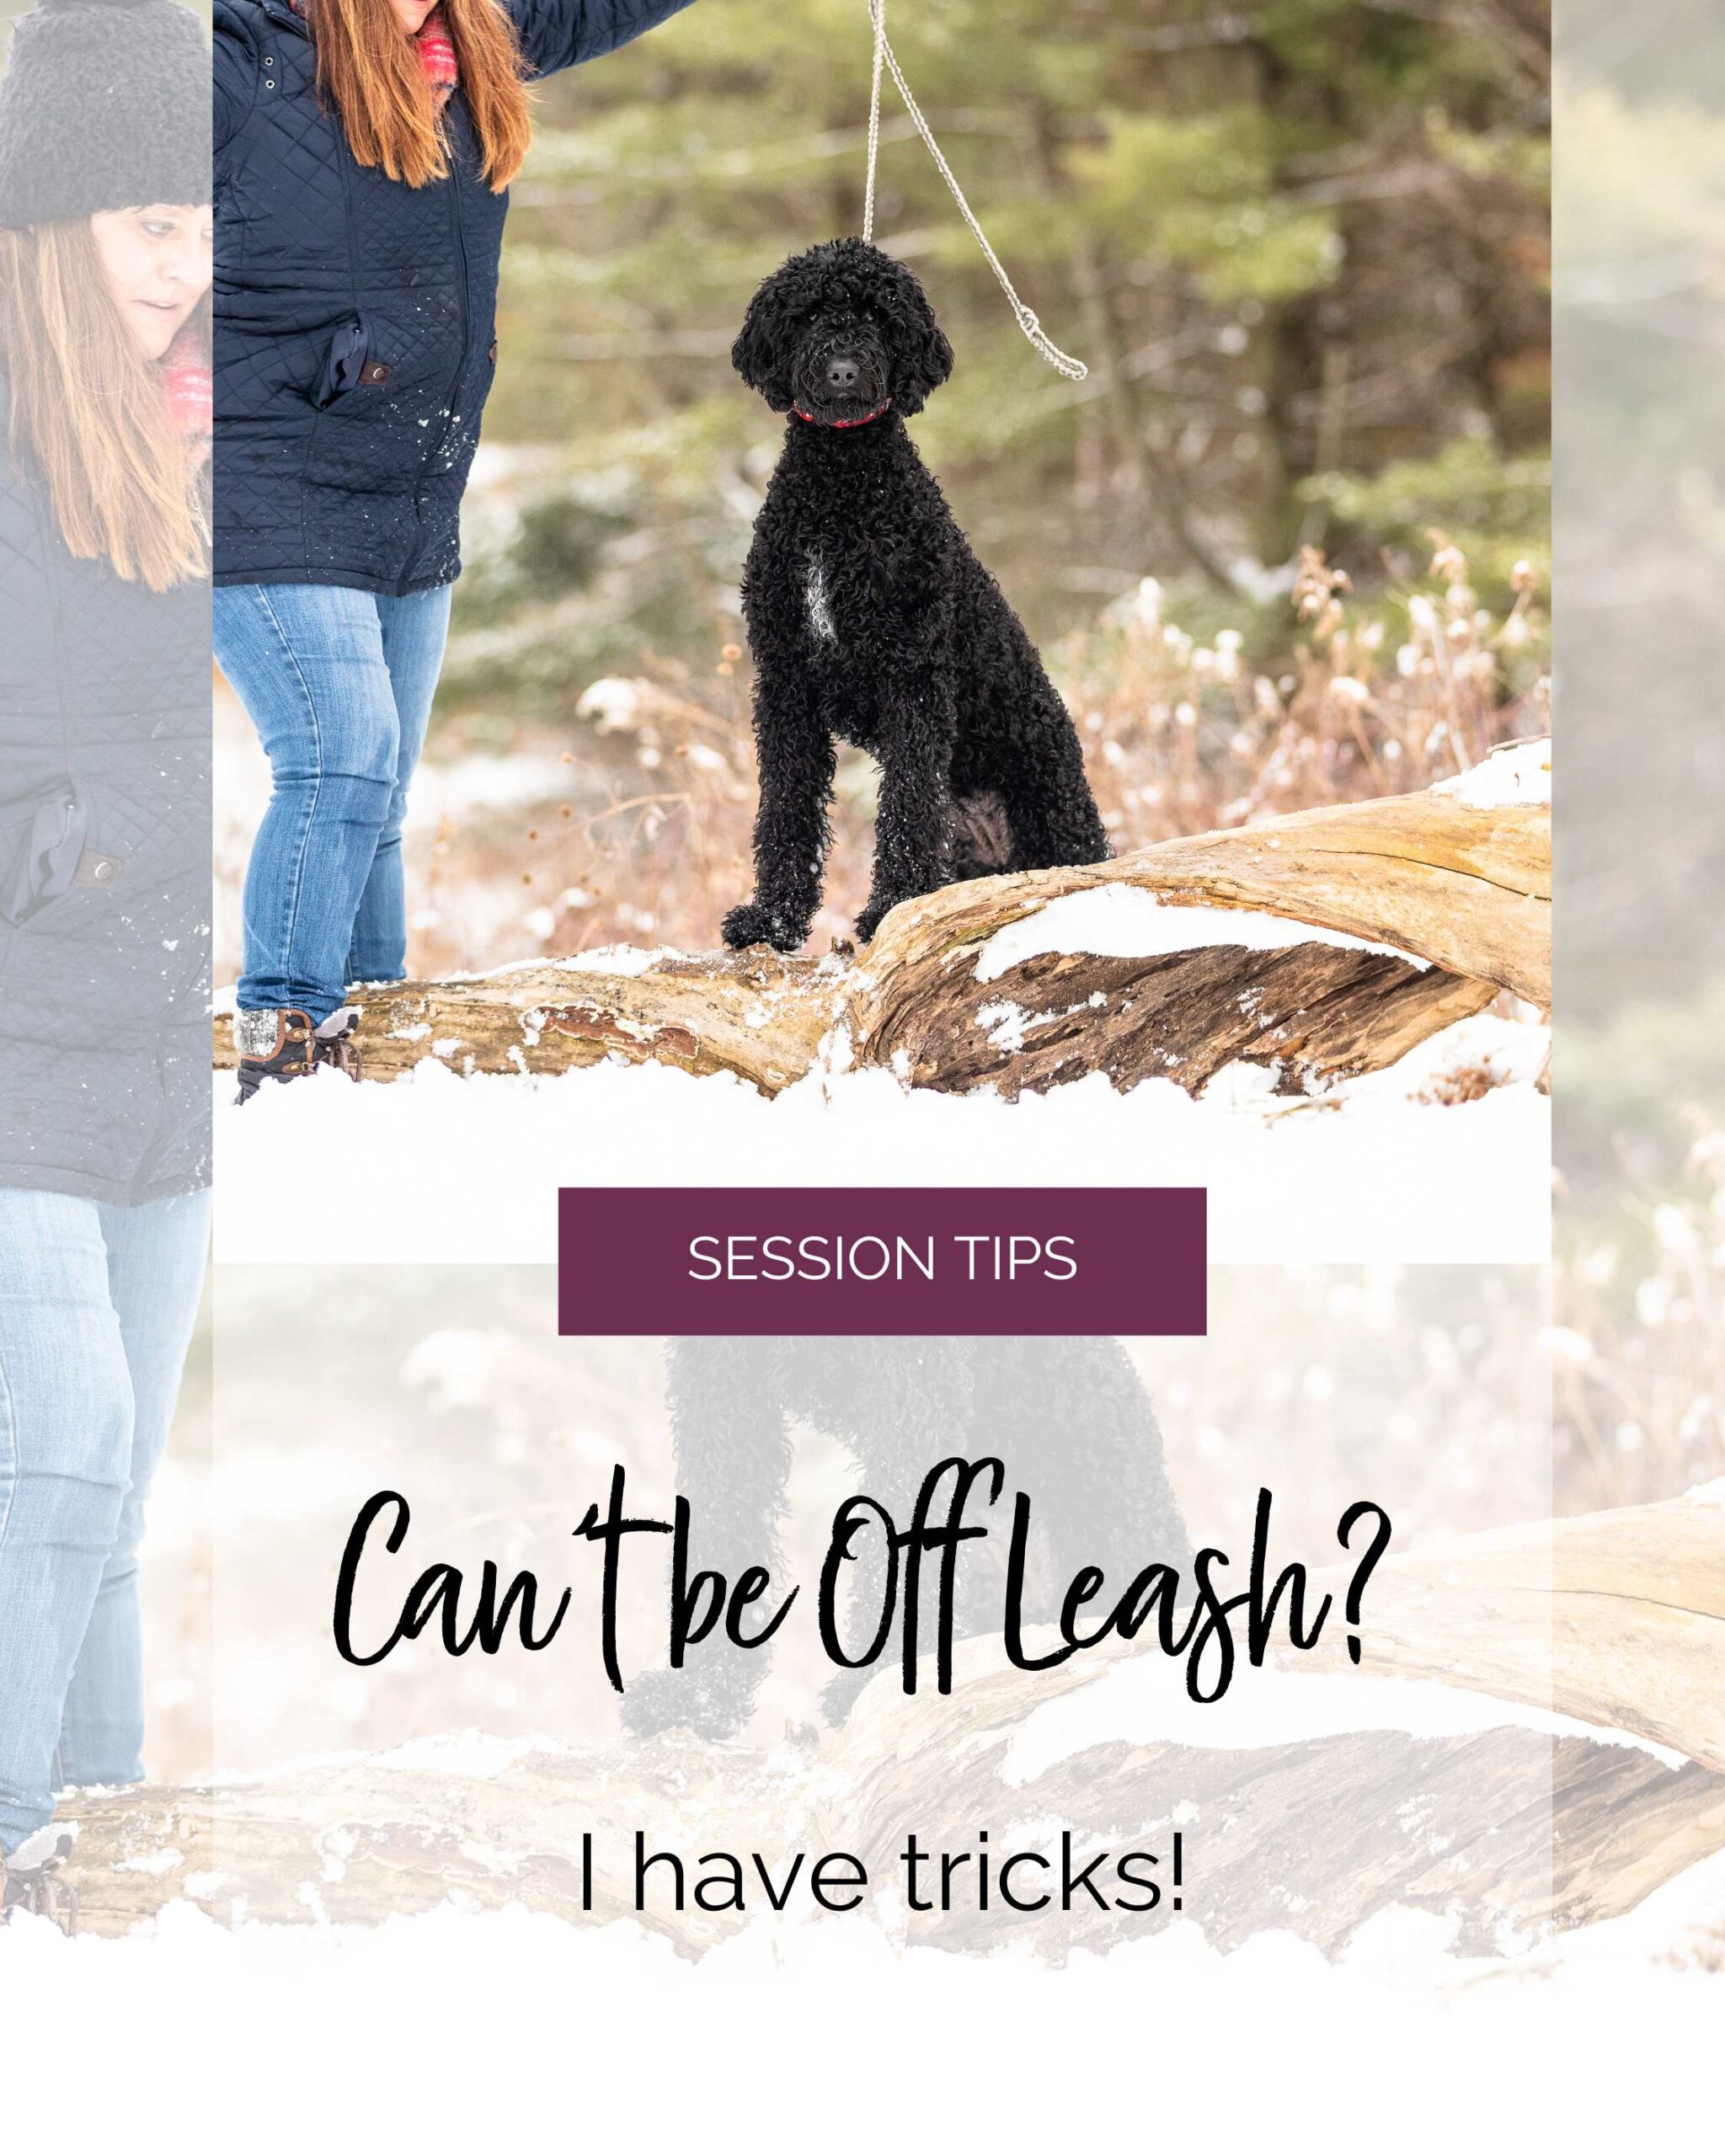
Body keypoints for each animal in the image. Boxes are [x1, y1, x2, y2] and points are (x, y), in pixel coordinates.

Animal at [715, 236, 1103, 953]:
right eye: (812, 314)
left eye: (878, 315)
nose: (843, 372)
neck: (840, 491)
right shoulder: (786, 680)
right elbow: (785, 808)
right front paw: (772, 918)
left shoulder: (913, 675)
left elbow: (908, 805)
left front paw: (892, 903)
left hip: (1054, 810)